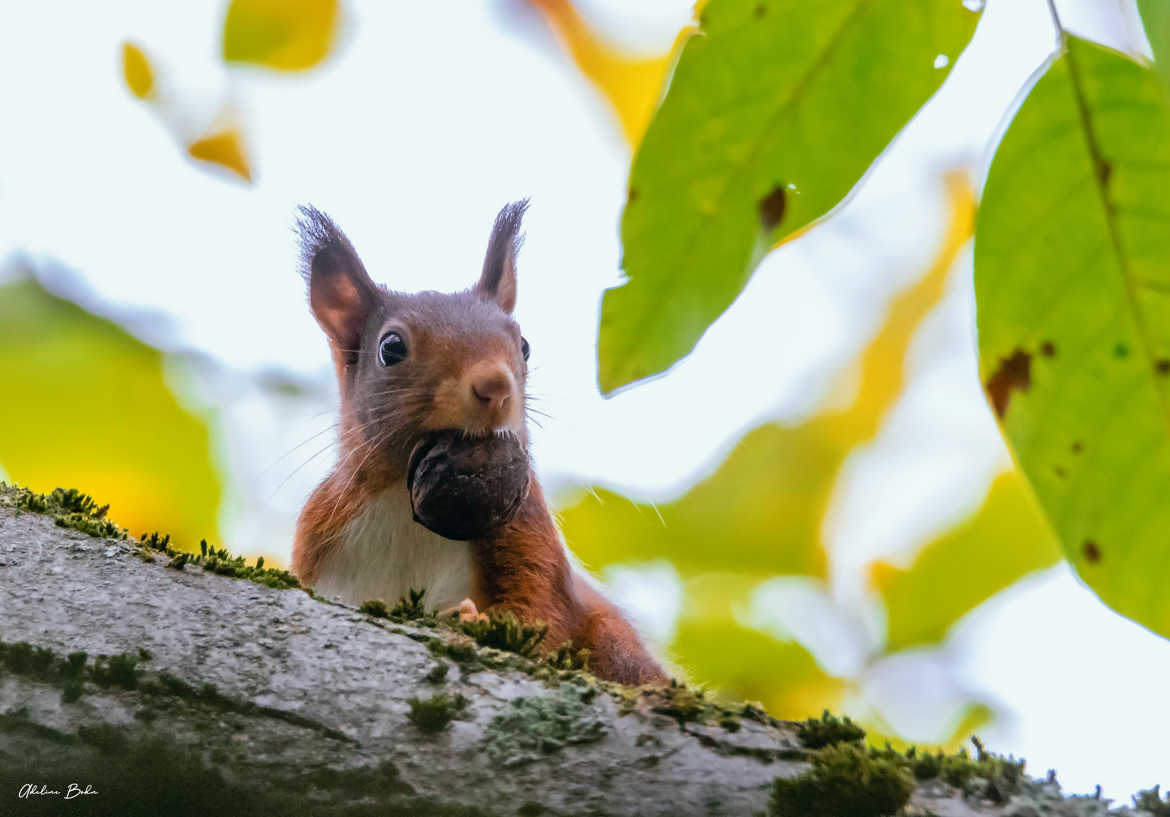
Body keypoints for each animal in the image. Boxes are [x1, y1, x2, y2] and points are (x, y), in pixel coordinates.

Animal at [292, 200, 669, 683]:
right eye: (390, 348)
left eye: (524, 345)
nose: (495, 384)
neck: (401, 498)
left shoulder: (525, 529)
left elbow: (543, 613)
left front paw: (471, 617)